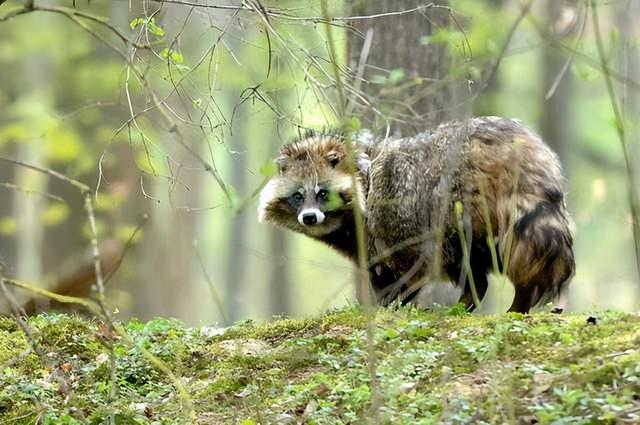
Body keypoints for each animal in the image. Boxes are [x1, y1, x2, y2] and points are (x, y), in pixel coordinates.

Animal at [258, 116, 576, 312]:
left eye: (323, 193)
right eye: (298, 196)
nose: (309, 218)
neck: (364, 172)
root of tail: (524, 147)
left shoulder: (391, 227)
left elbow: (403, 273)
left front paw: (391, 307)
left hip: (459, 204)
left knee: (474, 257)